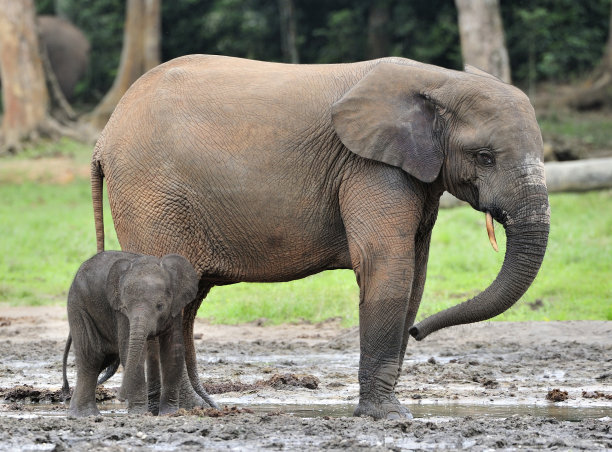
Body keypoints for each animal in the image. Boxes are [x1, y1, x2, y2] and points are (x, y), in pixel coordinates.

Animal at [61, 251, 198, 416]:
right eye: (125, 307)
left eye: (160, 306)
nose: (120, 397)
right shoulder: (121, 313)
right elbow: (128, 350)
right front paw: (139, 414)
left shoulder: (175, 309)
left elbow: (174, 351)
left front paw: (169, 413)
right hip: (79, 306)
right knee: (91, 358)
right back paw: (86, 414)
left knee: (103, 359)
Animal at [89, 55, 548, 420]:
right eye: (484, 158)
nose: (420, 332)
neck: (439, 79)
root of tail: (103, 136)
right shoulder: (369, 166)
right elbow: (387, 266)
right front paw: (388, 416)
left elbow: (415, 278)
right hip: (151, 193)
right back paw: (180, 410)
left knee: (189, 297)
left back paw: (192, 407)